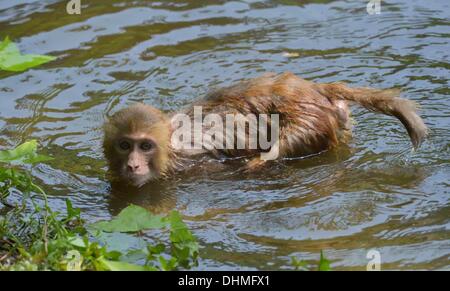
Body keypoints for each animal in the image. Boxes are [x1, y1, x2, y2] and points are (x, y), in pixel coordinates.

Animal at [103, 72, 428, 188]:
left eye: (145, 146)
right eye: (124, 145)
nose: (132, 165)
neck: (171, 148)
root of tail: (314, 90)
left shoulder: (194, 161)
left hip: (310, 122)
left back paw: (261, 162)